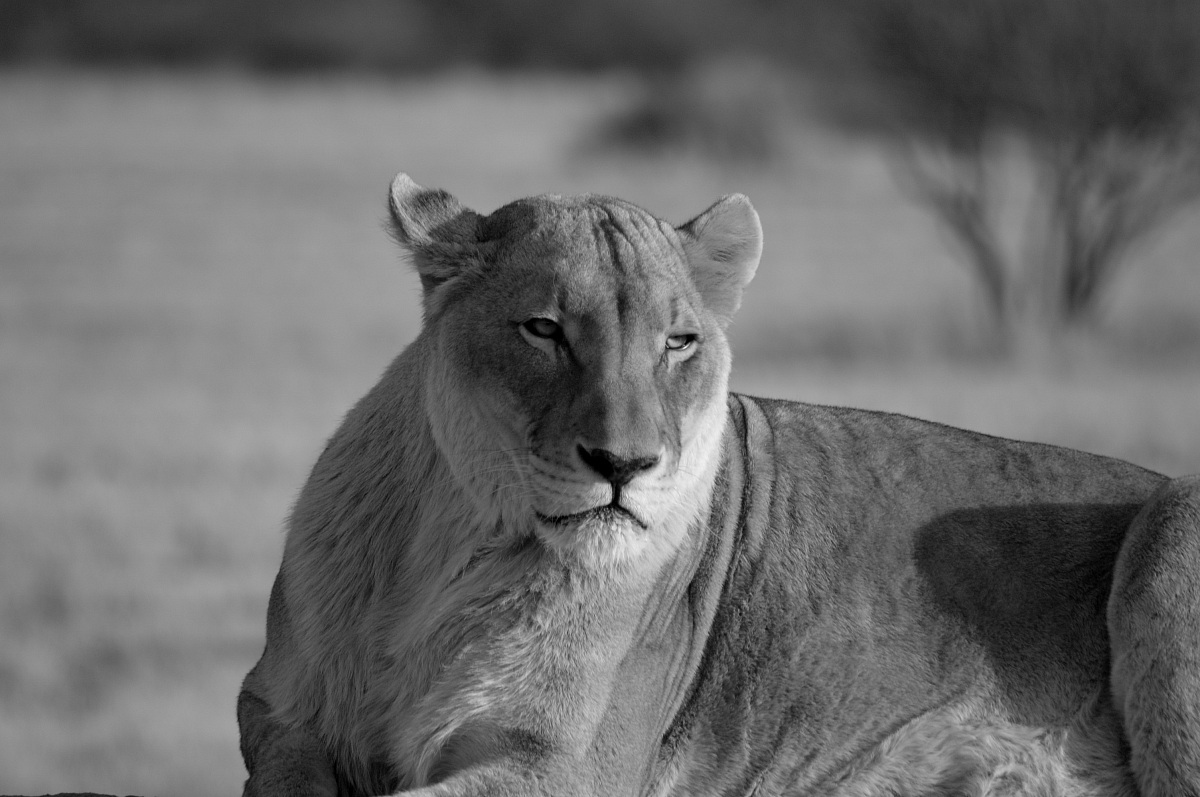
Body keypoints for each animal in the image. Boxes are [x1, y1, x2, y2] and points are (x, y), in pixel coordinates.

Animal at [238, 173, 1200, 797]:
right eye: (544, 329)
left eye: (678, 342)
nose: (623, 465)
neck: (456, 543)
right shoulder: (278, 715)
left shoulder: (559, 764)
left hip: (1173, 527)